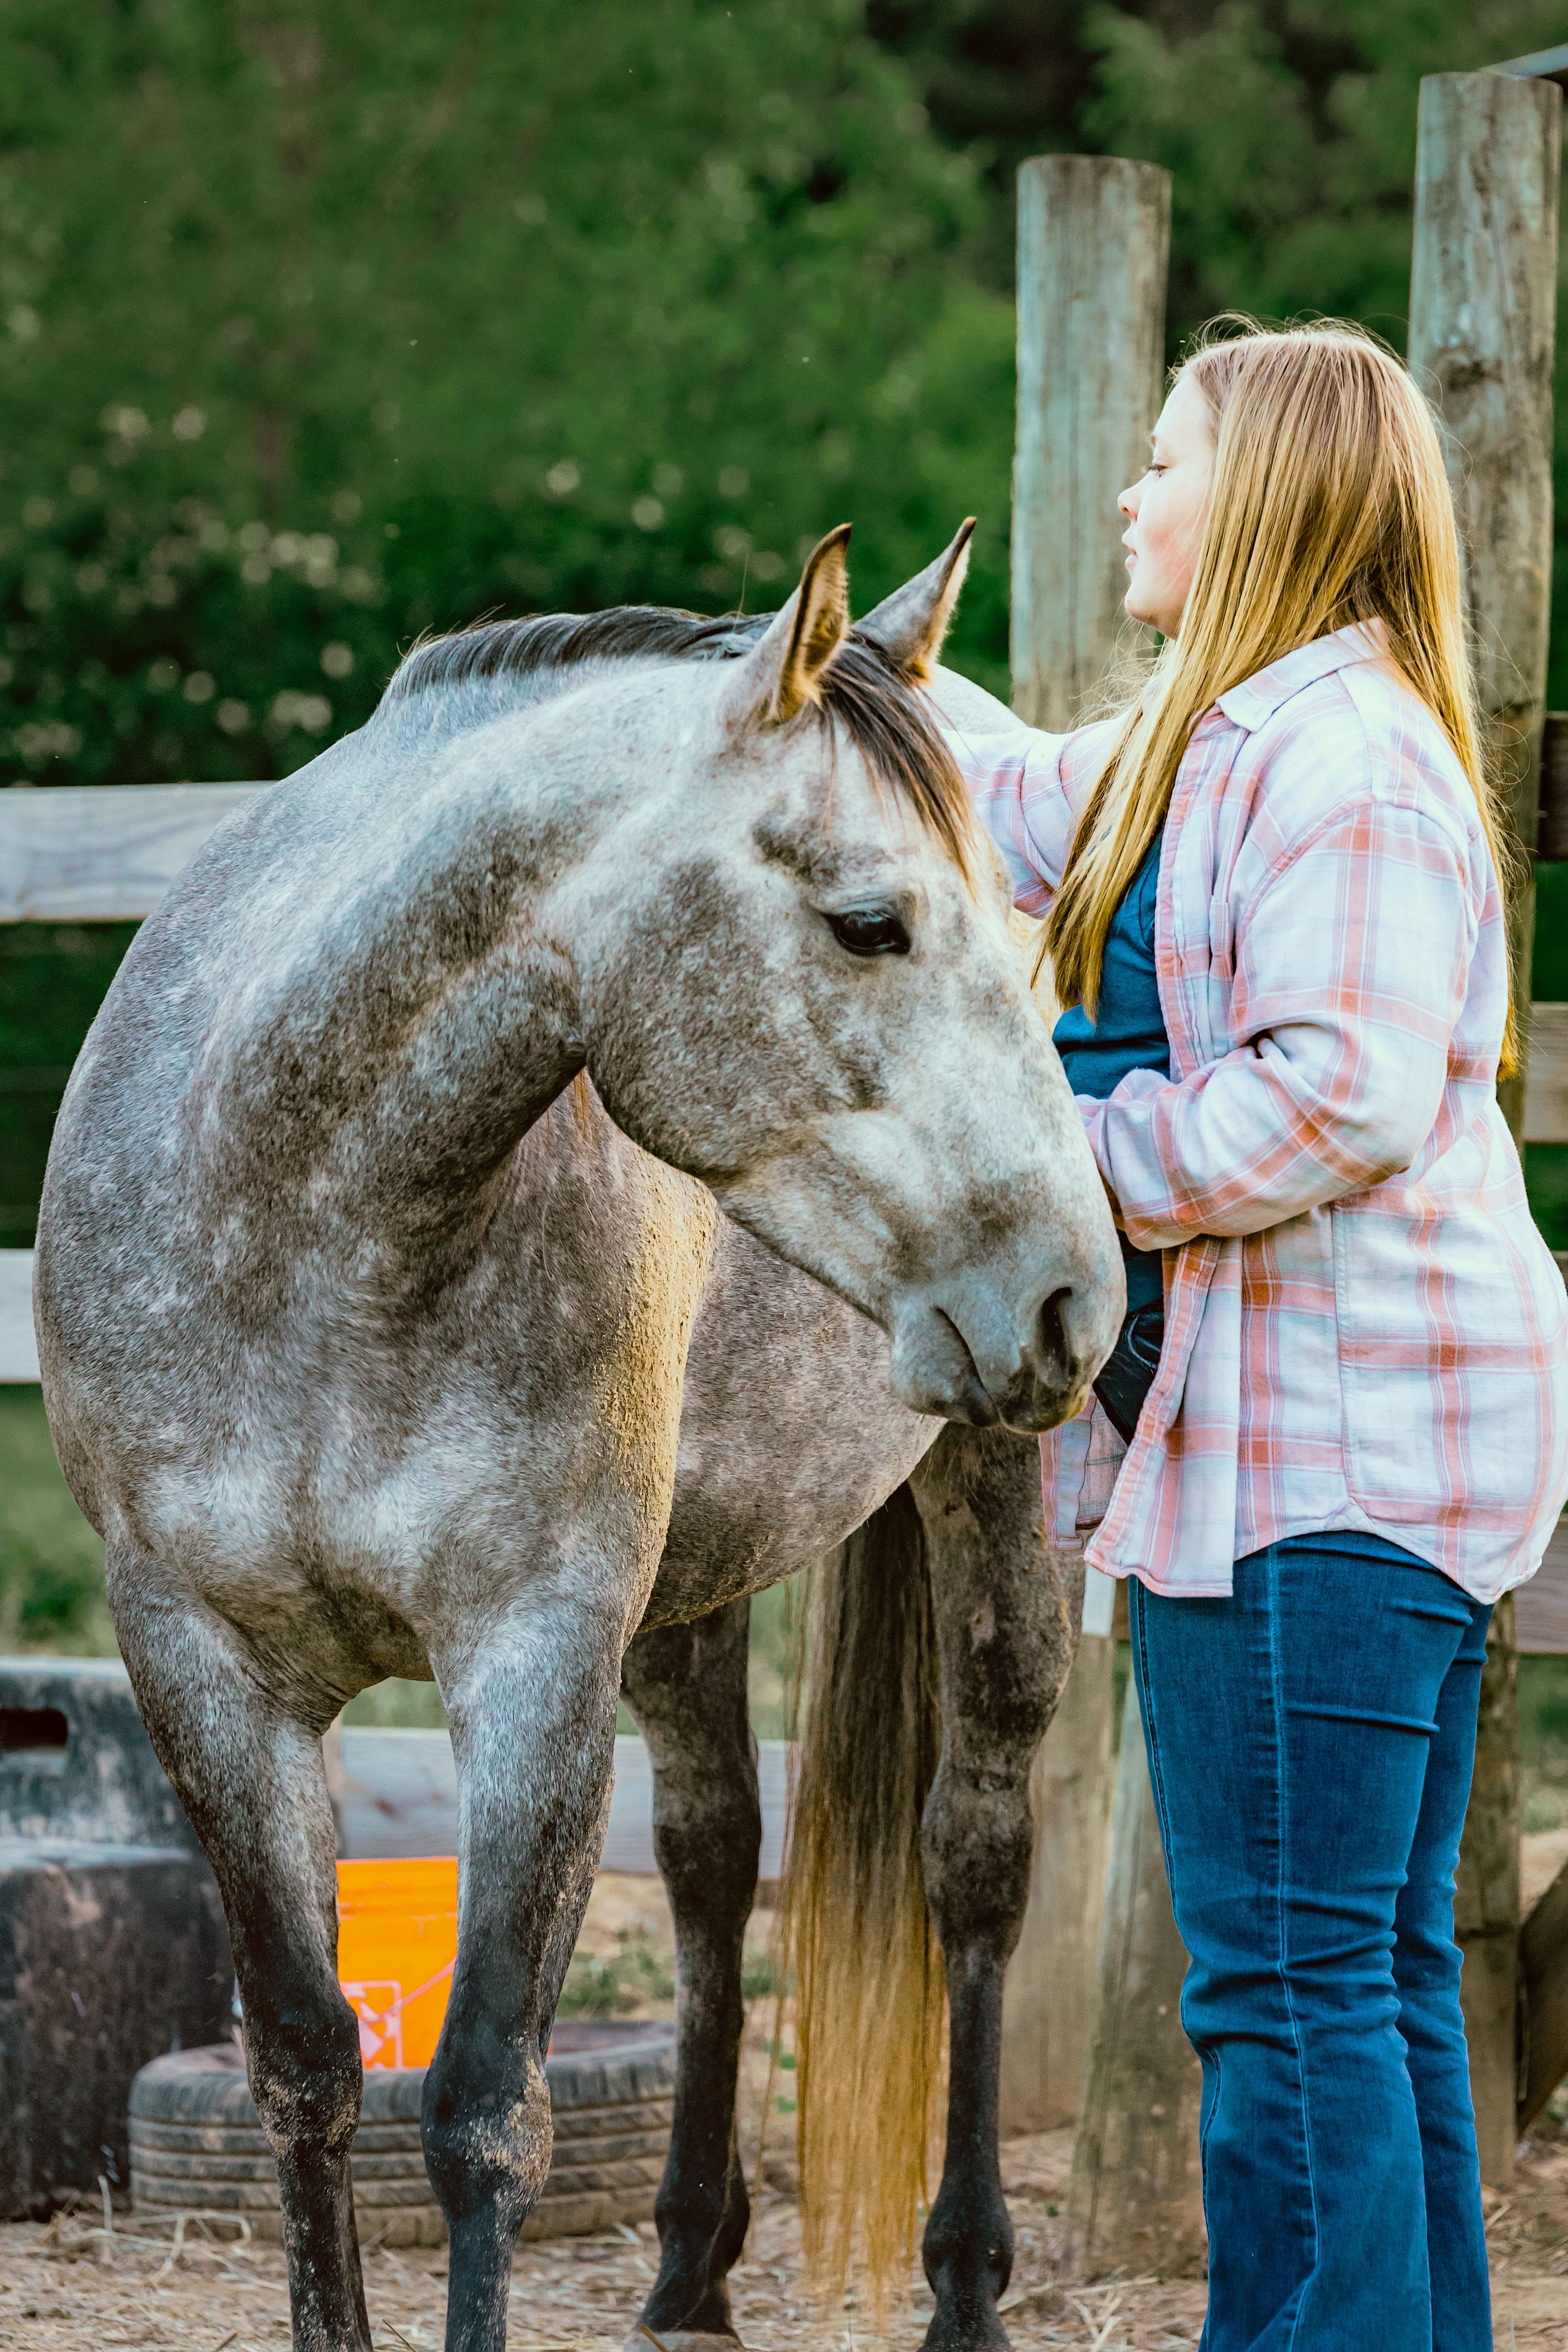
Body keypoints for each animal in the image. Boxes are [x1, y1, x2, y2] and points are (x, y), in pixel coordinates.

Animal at [34, 521, 1122, 2352]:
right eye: (869, 922)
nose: (1072, 1286)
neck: (306, 1232)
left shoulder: (533, 1655)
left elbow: (484, 2104)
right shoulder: (202, 1666)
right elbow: (309, 2063)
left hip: (982, 1482)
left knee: (974, 1849)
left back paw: (965, 2283)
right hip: (689, 1583)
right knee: (710, 1856)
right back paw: (687, 2266)